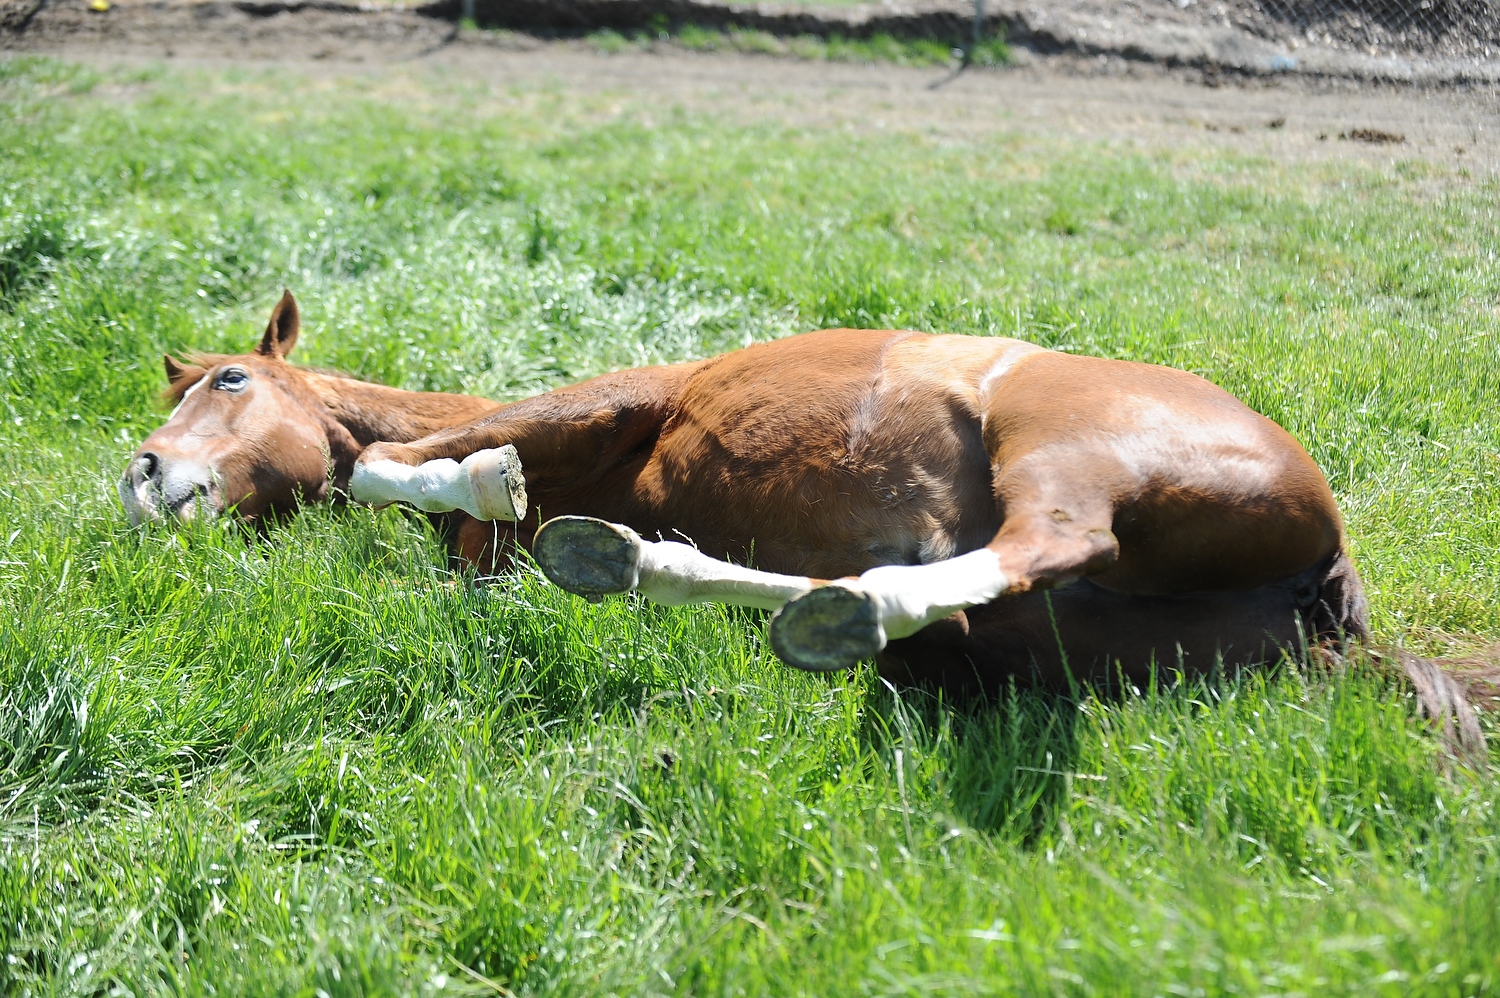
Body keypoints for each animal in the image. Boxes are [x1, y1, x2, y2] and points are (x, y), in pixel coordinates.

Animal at [114, 283, 1476, 744]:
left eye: (227, 379)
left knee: (1037, 542)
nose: (140, 473)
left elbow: (410, 458)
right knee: (949, 602)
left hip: (1070, 457)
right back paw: (647, 565)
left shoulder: (609, 399)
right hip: (1025, 640)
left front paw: (485, 477)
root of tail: (1333, 586)